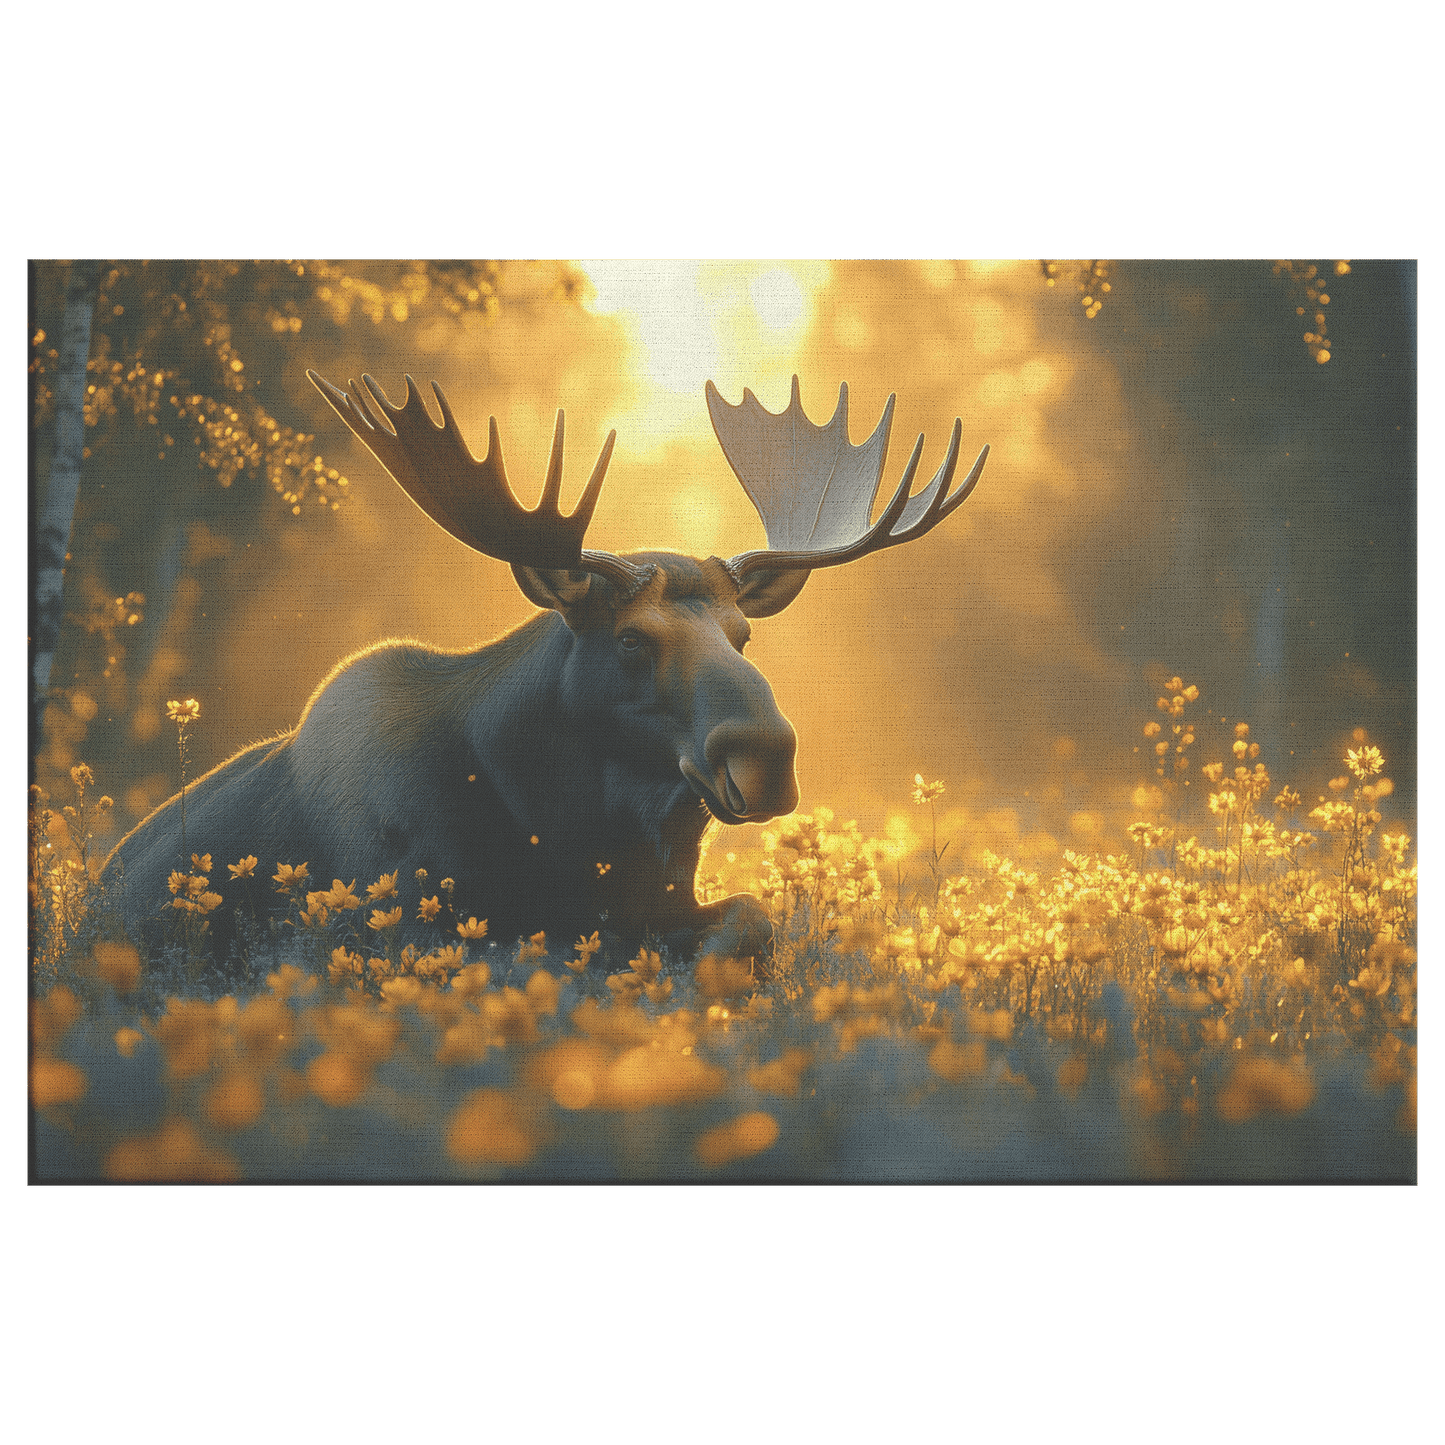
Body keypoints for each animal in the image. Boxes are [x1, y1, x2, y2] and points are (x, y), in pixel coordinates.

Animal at [102, 370, 987, 976]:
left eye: (743, 635)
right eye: (630, 639)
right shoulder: (389, 915)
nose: (765, 755)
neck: (574, 831)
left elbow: (751, 917)